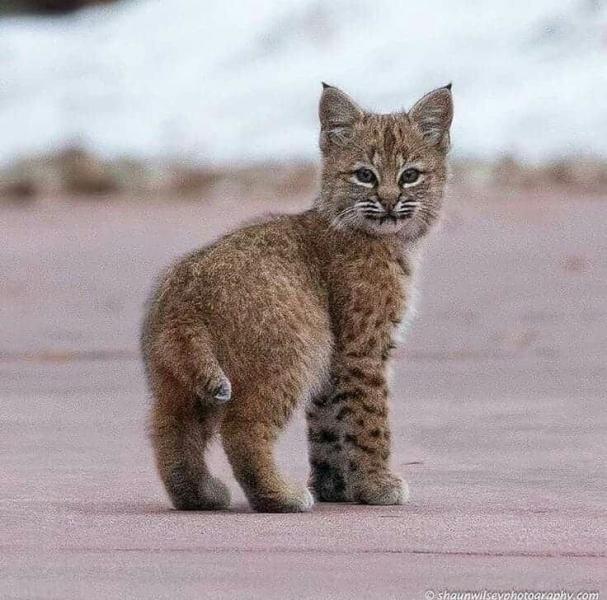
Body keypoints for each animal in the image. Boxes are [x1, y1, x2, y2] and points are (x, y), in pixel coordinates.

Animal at [141, 82, 452, 512]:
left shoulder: (335, 361)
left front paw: (335, 488)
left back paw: (198, 495)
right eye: (364, 175)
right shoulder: (362, 349)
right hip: (295, 348)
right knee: (242, 427)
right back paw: (279, 496)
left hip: (179, 378)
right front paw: (376, 485)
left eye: (410, 176)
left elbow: (328, 425)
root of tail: (187, 292)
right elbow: (368, 420)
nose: (389, 202)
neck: (390, 240)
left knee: (169, 429)